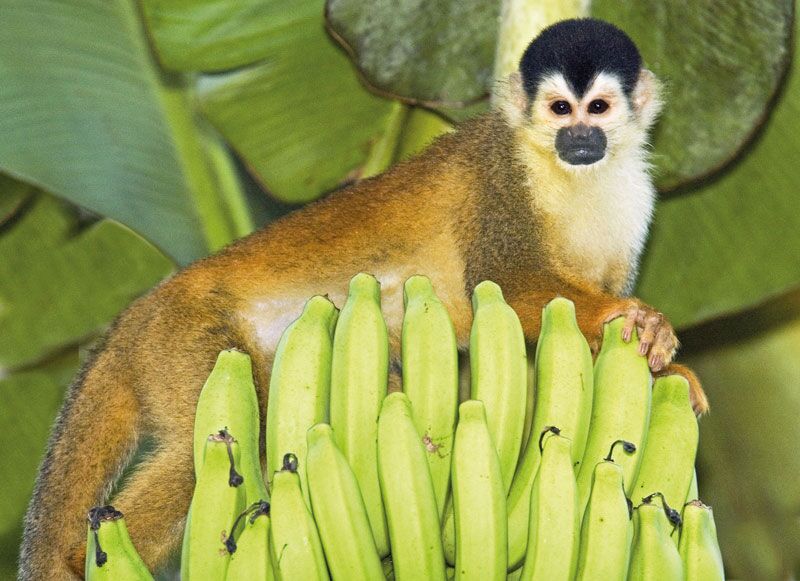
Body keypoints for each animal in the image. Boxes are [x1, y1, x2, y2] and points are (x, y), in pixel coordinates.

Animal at [19, 17, 708, 580]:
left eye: (599, 107)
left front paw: (666, 367)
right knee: (217, 447)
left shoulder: (635, 204)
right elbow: (511, 285)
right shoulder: (501, 177)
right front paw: (632, 318)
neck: (570, 174)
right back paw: (92, 554)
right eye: (561, 109)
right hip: (184, 341)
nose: (582, 138)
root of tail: (132, 318)